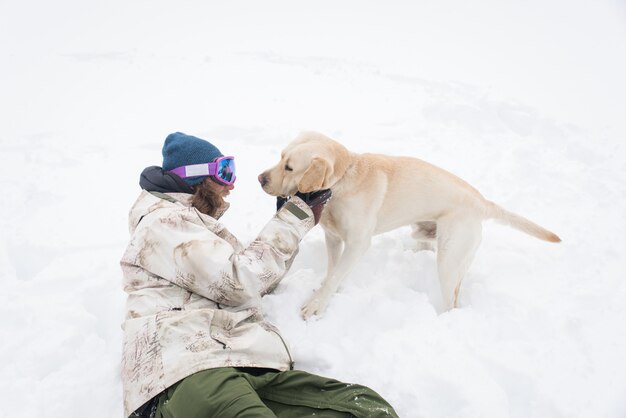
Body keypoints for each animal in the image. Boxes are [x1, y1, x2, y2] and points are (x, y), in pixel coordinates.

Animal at [256, 132, 560, 318]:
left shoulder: (358, 244)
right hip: (425, 234)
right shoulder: (333, 237)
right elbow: (334, 271)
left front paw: (316, 306)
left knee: (453, 300)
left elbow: (337, 274)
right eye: (280, 156)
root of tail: (482, 202)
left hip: (449, 260)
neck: (343, 179)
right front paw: (329, 289)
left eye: (290, 167)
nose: (260, 178)